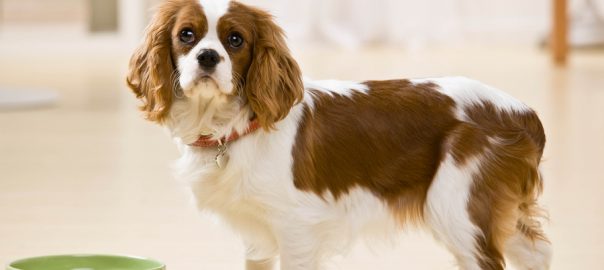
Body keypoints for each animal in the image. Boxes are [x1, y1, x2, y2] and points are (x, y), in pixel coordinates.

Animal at [126, 1, 552, 268]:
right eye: (186, 34)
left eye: (236, 40)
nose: (208, 57)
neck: (231, 126)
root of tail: (523, 112)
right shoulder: (258, 237)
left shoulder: (296, 230)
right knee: (539, 254)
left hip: (458, 211)